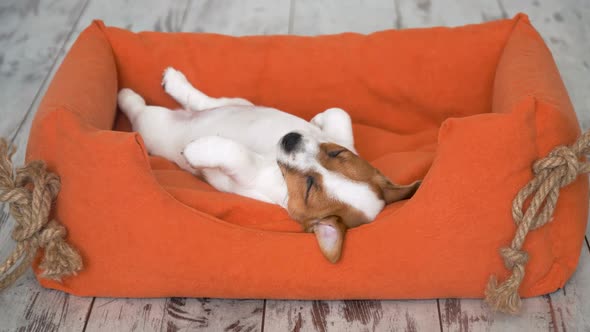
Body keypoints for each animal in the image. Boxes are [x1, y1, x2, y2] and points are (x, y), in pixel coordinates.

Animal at [118, 67, 420, 264]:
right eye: (336, 153)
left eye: (309, 187)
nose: (290, 138)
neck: (276, 166)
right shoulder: (340, 137)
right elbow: (339, 113)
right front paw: (317, 119)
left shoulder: (249, 175)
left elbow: (235, 153)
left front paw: (198, 150)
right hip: (237, 103)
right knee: (206, 101)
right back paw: (174, 82)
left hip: (153, 126)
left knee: (141, 111)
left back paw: (126, 97)